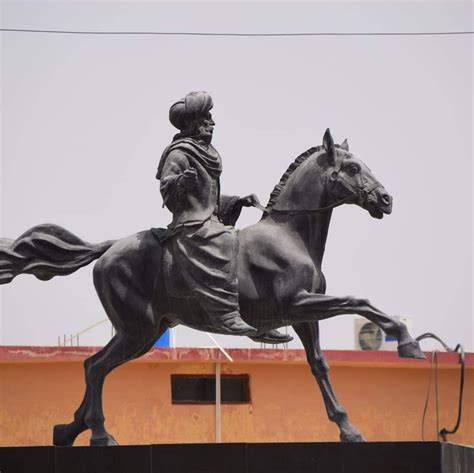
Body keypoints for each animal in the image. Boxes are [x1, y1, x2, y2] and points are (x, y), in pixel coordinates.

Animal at [0, 129, 422, 446]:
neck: (290, 234)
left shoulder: (305, 315)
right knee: (96, 367)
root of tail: (108, 250)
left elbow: (319, 363)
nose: (386, 199)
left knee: (93, 365)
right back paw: (100, 435)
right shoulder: (300, 303)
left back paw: (69, 429)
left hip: (144, 332)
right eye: (352, 167)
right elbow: (360, 300)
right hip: (137, 331)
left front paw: (348, 428)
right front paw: (407, 341)